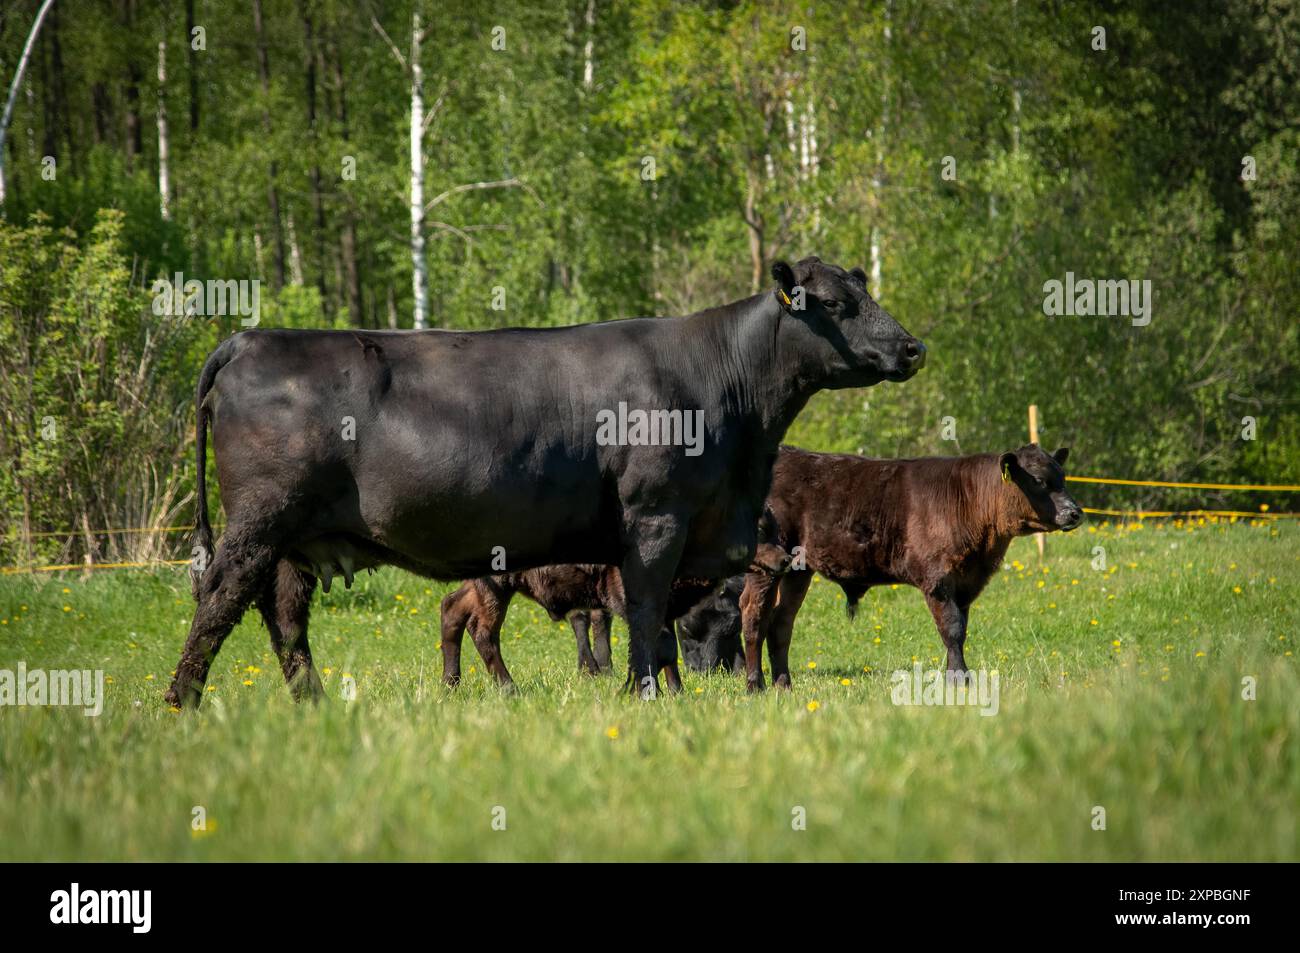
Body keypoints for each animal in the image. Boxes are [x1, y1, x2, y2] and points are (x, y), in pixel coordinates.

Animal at [165, 254, 925, 707]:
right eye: (835, 304)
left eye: (865, 291)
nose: (913, 347)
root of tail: (253, 337)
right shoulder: (656, 518)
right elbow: (649, 612)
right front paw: (646, 694)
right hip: (260, 521)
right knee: (219, 599)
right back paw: (183, 701)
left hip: (294, 539)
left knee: (282, 615)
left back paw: (312, 703)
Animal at [743, 442, 1086, 686]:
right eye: (1039, 480)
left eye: (1063, 477)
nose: (1075, 512)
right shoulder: (937, 580)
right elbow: (952, 629)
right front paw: (961, 680)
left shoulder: (966, 584)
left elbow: (960, 630)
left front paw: (953, 677)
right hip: (766, 564)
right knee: (754, 616)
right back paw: (755, 685)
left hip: (798, 570)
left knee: (781, 622)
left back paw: (784, 684)